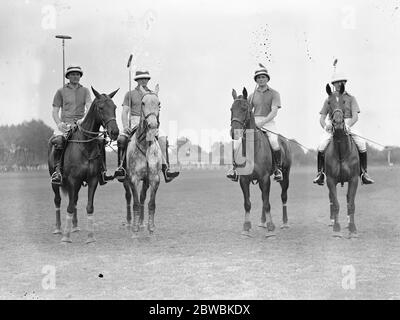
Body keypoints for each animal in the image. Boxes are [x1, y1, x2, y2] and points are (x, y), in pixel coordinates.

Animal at [48, 87, 119, 242]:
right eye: (101, 107)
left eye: (115, 107)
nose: (115, 132)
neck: (86, 147)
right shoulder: (72, 180)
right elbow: (68, 206)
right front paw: (66, 237)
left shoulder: (92, 180)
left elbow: (89, 207)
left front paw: (90, 237)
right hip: (55, 182)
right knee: (57, 200)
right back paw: (58, 228)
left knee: (74, 200)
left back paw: (75, 226)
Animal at [230, 87, 292, 238]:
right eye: (231, 109)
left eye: (244, 108)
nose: (234, 133)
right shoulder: (245, 180)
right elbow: (248, 203)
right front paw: (246, 228)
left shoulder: (264, 178)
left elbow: (267, 203)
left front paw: (271, 228)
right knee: (264, 198)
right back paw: (263, 222)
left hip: (285, 177)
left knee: (283, 196)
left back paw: (284, 223)